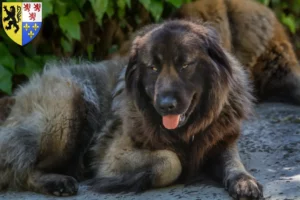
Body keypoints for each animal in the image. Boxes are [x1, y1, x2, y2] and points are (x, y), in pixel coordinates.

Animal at [0, 19, 262, 199]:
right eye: (153, 68)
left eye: (185, 65)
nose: (166, 105)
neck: (187, 130)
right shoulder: (114, 156)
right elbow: (171, 161)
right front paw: (127, 181)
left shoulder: (220, 141)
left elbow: (234, 163)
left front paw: (244, 181)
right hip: (67, 107)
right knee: (19, 169)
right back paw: (58, 182)